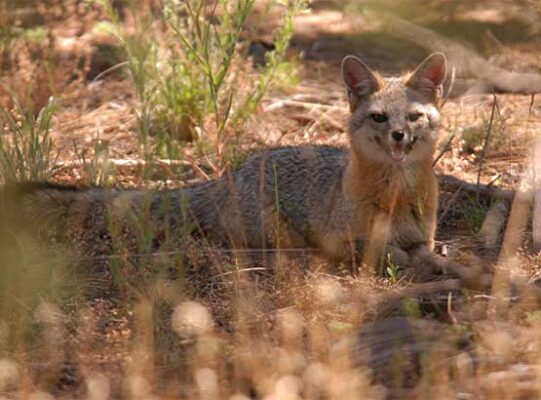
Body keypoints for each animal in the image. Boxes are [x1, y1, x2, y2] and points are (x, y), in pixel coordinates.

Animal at [1, 52, 477, 281]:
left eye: (413, 117)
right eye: (379, 118)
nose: (398, 136)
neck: (396, 196)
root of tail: (228, 175)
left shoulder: (423, 237)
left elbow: (431, 254)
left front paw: (463, 271)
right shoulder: (346, 241)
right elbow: (391, 253)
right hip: (274, 232)